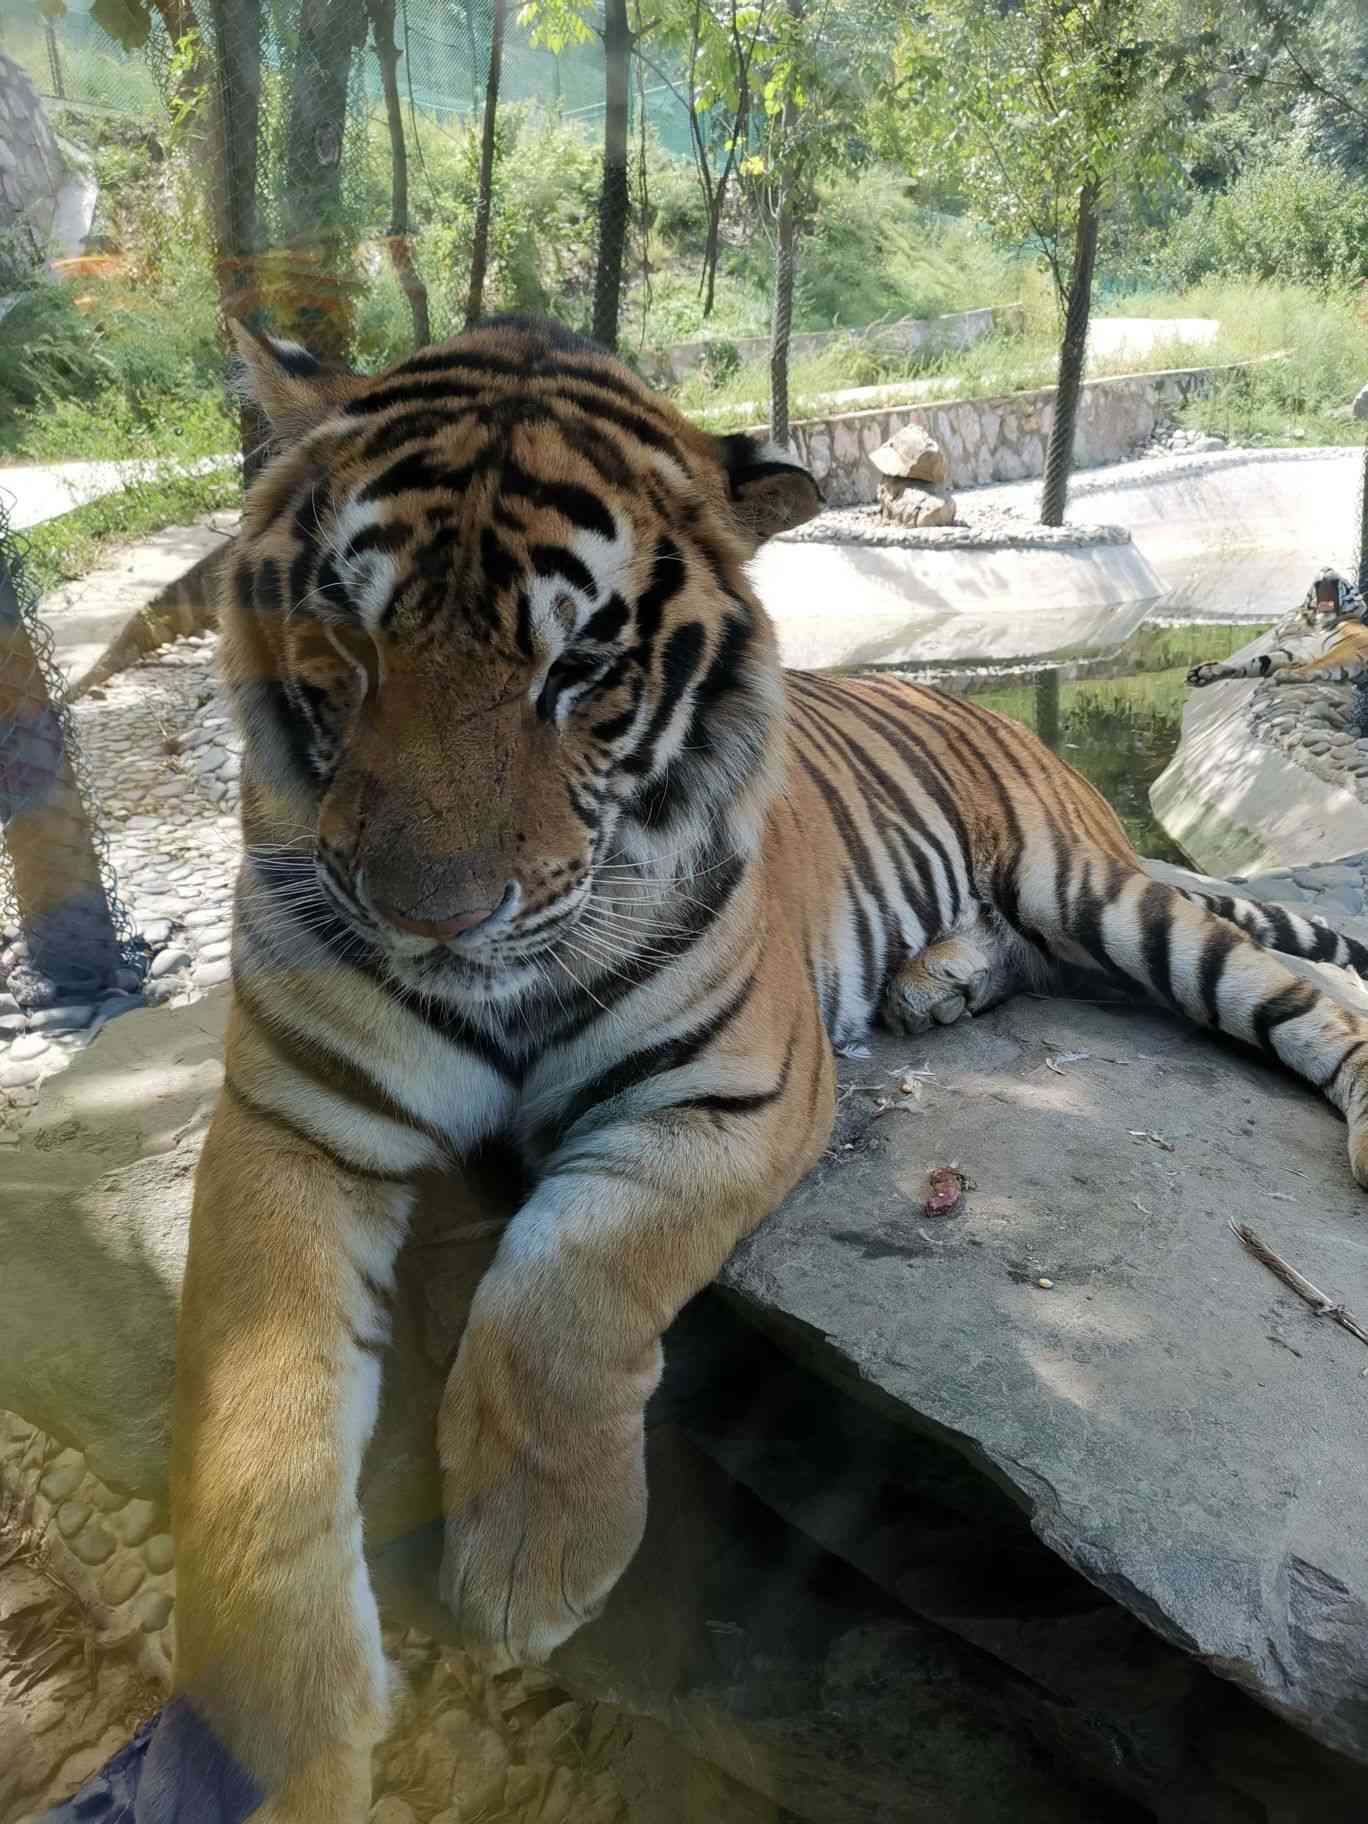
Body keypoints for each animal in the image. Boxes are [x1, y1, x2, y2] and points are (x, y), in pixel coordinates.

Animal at [1189, 565, 1368, 685]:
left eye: (1345, 581)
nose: (1326, 568)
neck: (1315, 623)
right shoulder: (1297, 652)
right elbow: (1256, 661)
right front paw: (1205, 672)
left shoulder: (1354, 643)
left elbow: (1325, 661)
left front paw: (1288, 674)